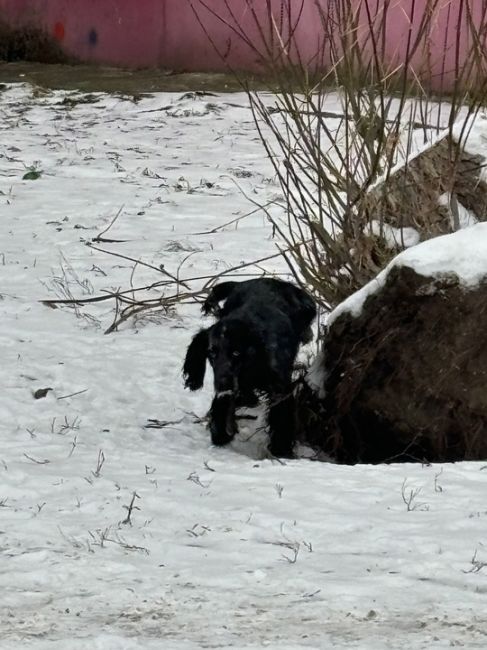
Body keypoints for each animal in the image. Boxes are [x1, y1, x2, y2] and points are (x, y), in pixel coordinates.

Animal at [183, 278, 316, 456]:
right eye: (211, 352)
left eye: (236, 353)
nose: (222, 384)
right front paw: (221, 433)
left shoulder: (279, 388)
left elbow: (281, 417)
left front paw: (281, 449)